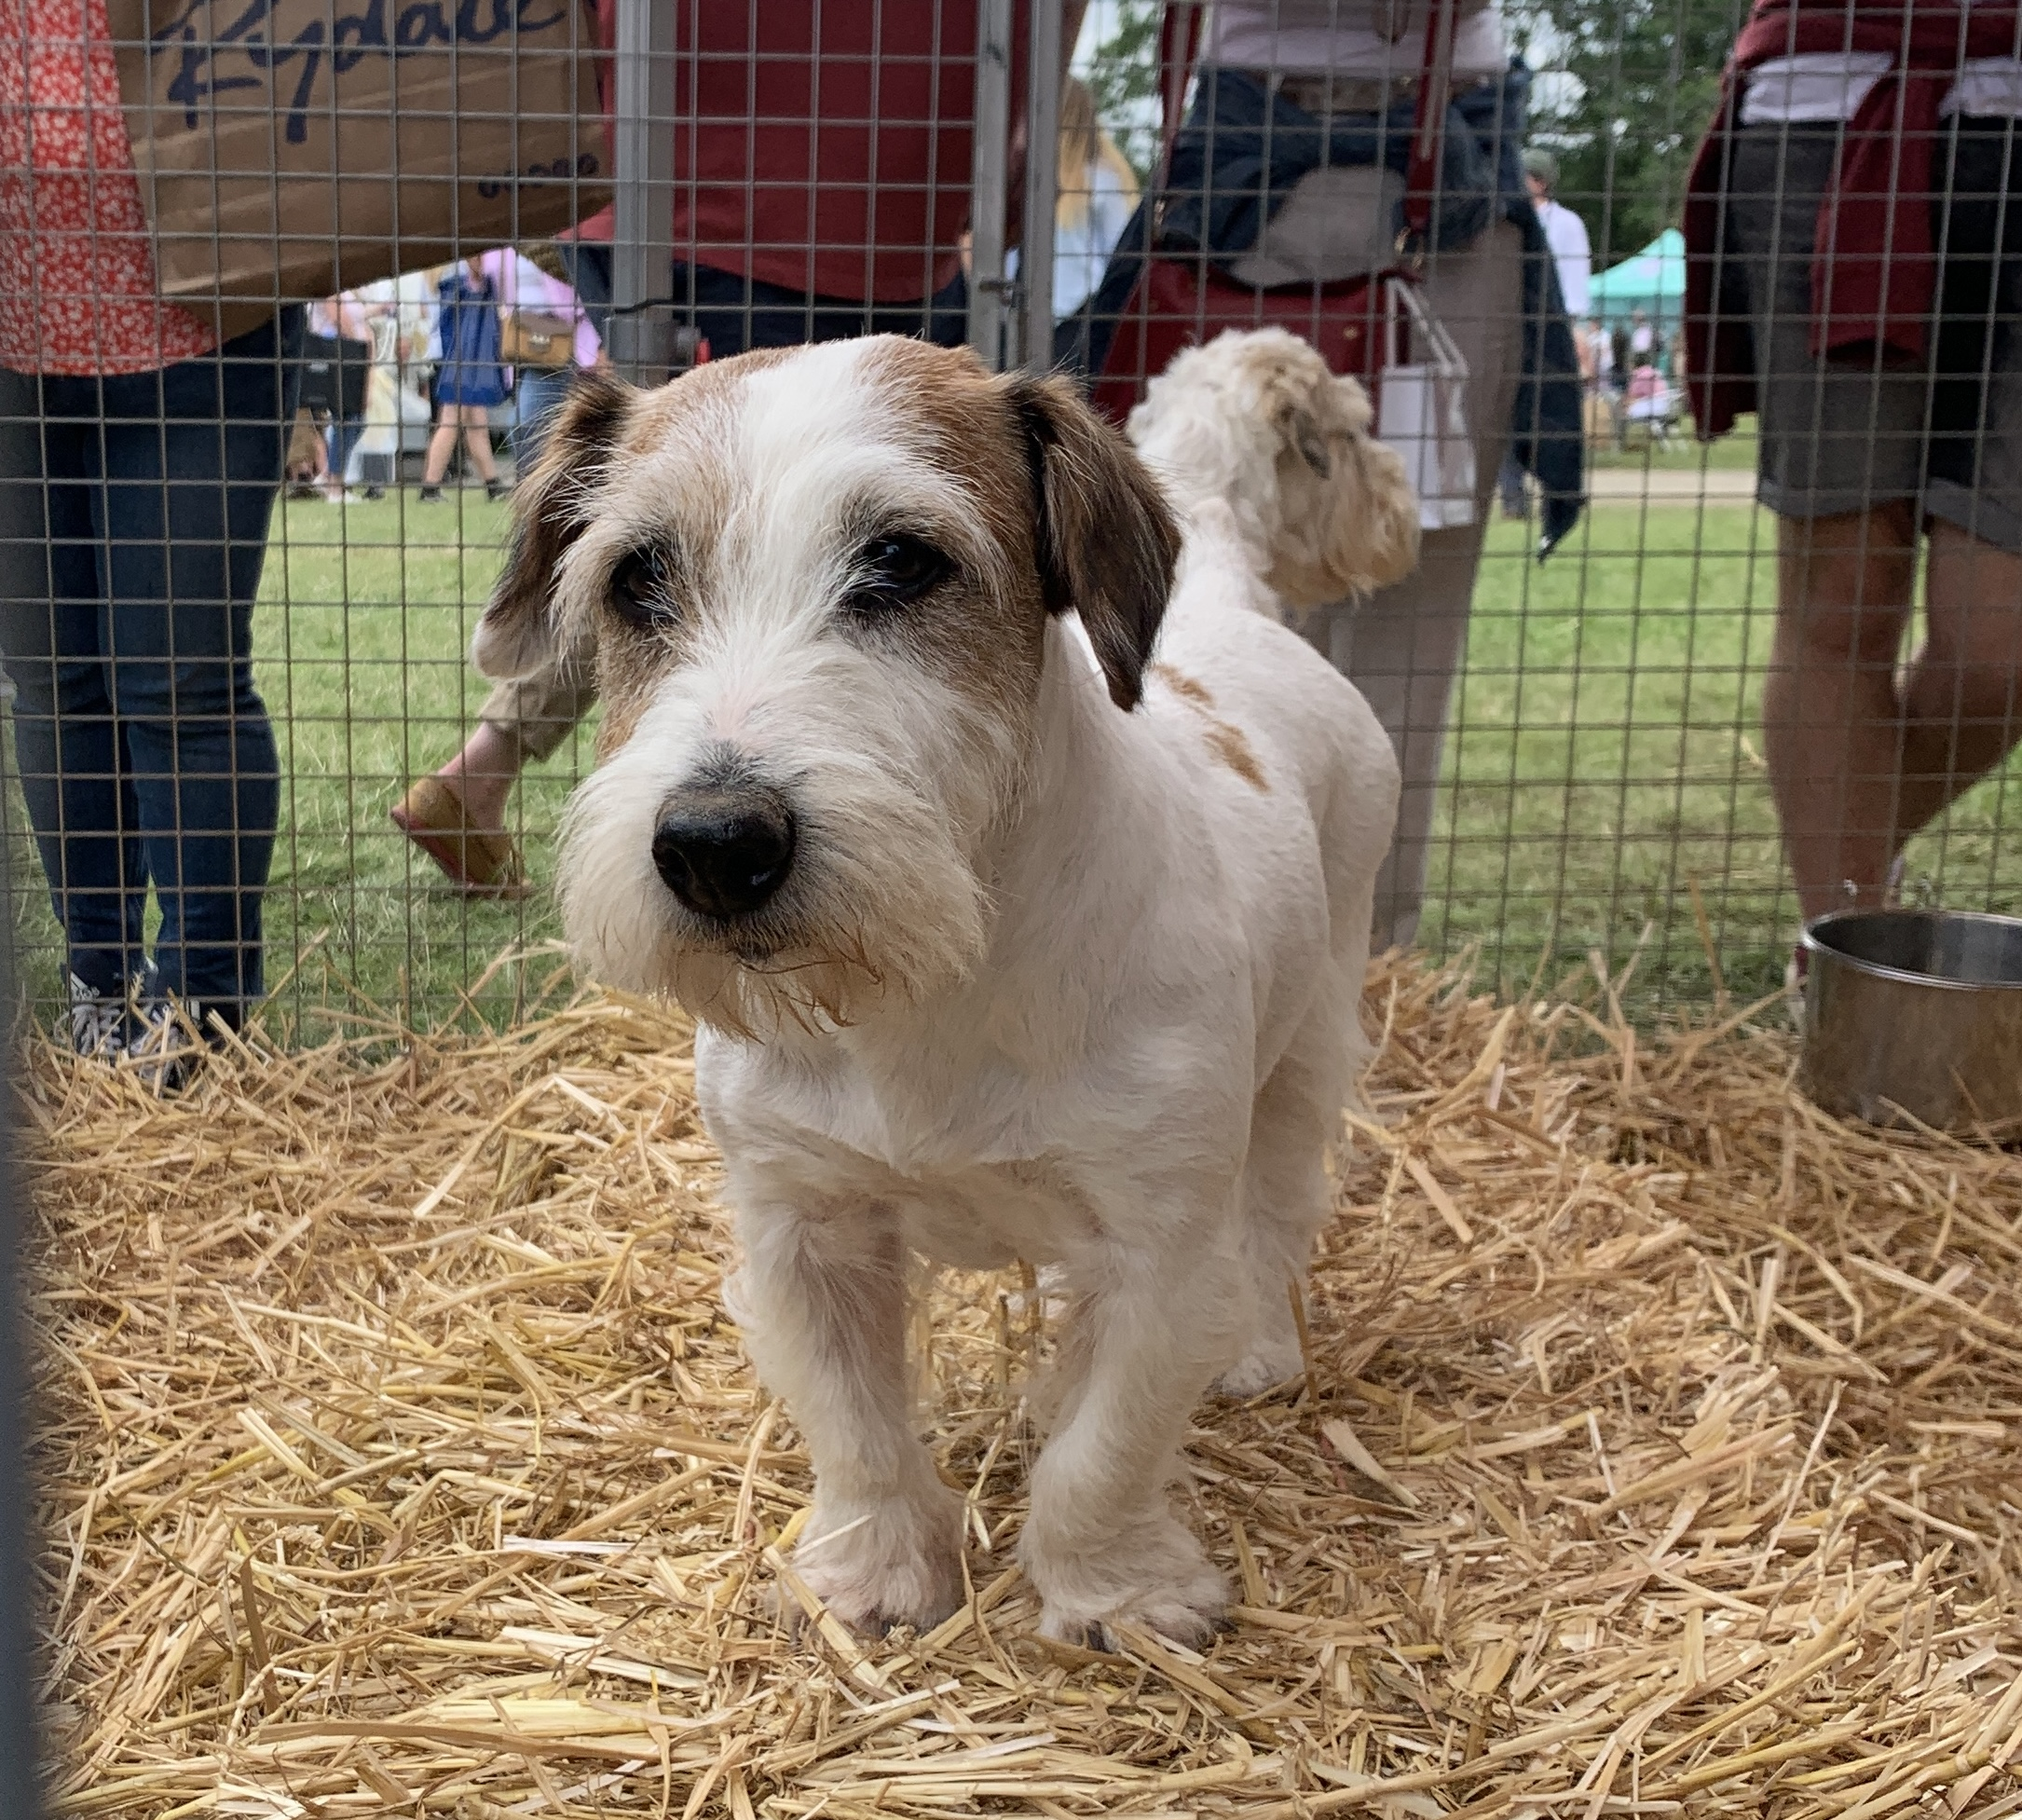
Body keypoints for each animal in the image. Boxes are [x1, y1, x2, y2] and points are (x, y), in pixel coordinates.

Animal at [474, 327, 1415, 1649]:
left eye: (903, 561)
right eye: (635, 578)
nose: (713, 845)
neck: (930, 983)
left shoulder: (1163, 1254)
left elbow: (1104, 1449)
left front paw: (1113, 1590)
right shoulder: (802, 1231)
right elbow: (860, 1433)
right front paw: (875, 1577)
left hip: (1309, 1047)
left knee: (1279, 1213)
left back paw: (1257, 1348)